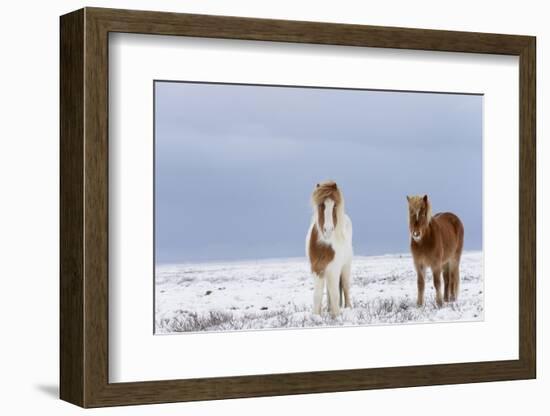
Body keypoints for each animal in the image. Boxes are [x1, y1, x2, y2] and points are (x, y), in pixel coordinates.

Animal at [306, 180, 354, 316]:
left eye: (334, 206)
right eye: (321, 205)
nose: (328, 230)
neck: (324, 245)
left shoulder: (334, 269)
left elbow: (335, 294)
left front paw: (336, 315)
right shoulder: (317, 269)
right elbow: (317, 295)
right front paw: (316, 316)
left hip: (345, 267)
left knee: (345, 287)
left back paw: (348, 308)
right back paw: (328, 309)